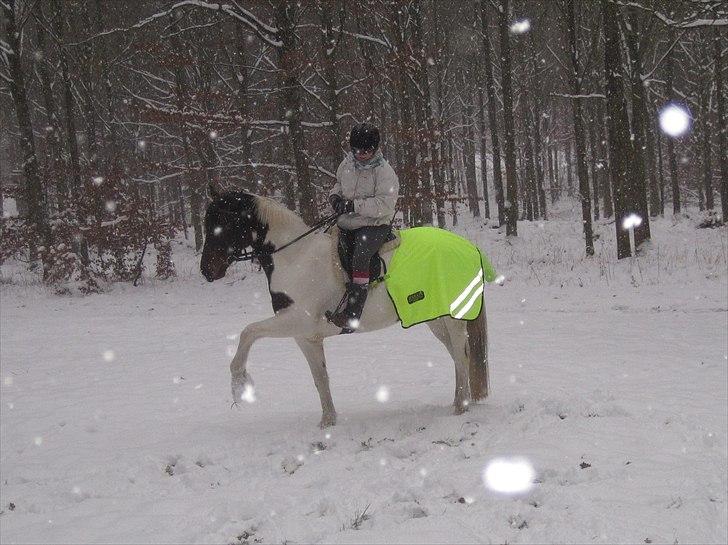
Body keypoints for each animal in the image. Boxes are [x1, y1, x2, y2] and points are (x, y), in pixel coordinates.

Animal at [199, 189, 490, 428]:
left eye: (221, 223)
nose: (206, 271)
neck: (295, 259)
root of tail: (469, 247)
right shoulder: (305, 336)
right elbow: (320, 377)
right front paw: (328, 421)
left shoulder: (296, 320)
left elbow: (248, 332)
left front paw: (240, 385)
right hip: (435, 319)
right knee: (457, 355)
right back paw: (460, 400)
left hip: (451, 317)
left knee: (461, 355)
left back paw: (460, 407)